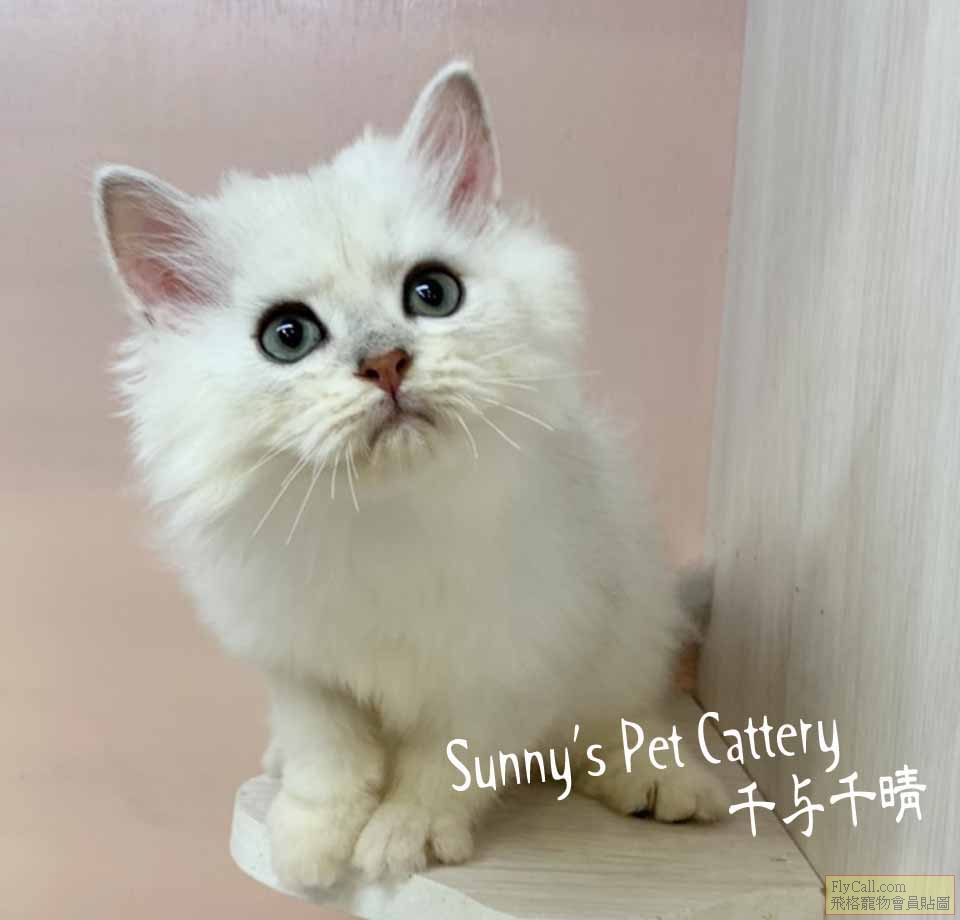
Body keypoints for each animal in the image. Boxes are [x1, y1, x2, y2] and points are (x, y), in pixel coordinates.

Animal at [94, 60, 727, 889]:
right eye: (288, 336)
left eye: (432, 293)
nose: (386, 361)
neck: (384, 514)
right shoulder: (297, 664)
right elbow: (329, 756)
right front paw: (309, 844)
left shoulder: (509, 665)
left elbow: (442, 767)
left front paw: (404, 840)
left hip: (630, 624)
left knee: (616, 716)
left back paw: (660, 783)